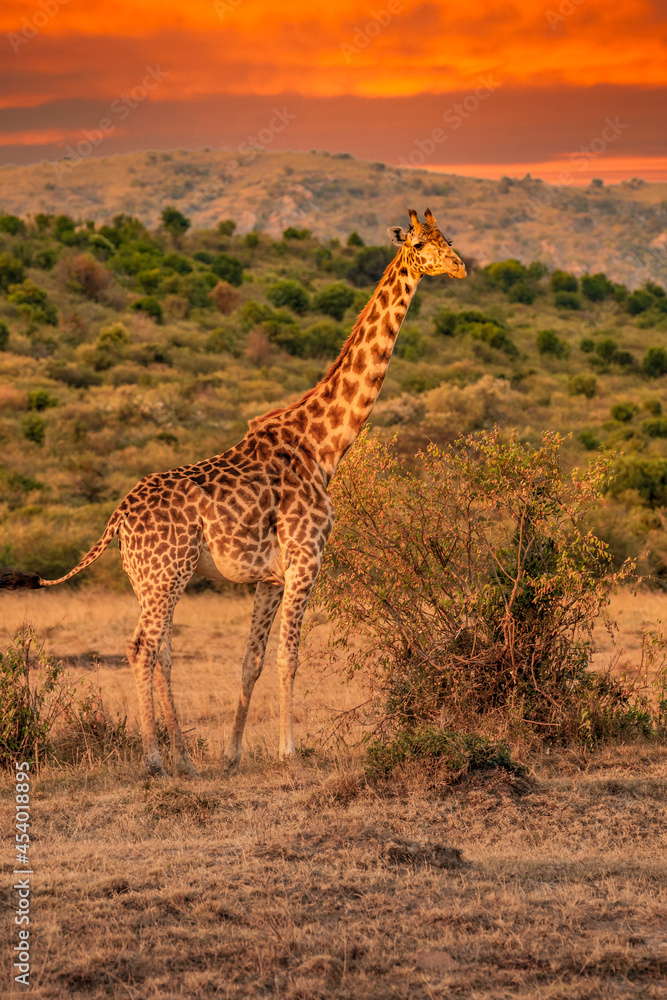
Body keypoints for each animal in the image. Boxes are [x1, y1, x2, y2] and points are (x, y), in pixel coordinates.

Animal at [0, 208, 466, 778]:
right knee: (140, 648)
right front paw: (291, 753)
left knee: (161, 652)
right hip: (167, 574)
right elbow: (290, 656)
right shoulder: (306, 559)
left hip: (150, 579)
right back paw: (154, 759)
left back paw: (184, 759)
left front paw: (232, 754)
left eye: (447, 238)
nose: (459, 266)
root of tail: (116, 519)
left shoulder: (270, 576)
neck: (324, 445)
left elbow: (251, 661)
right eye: (421, 244)